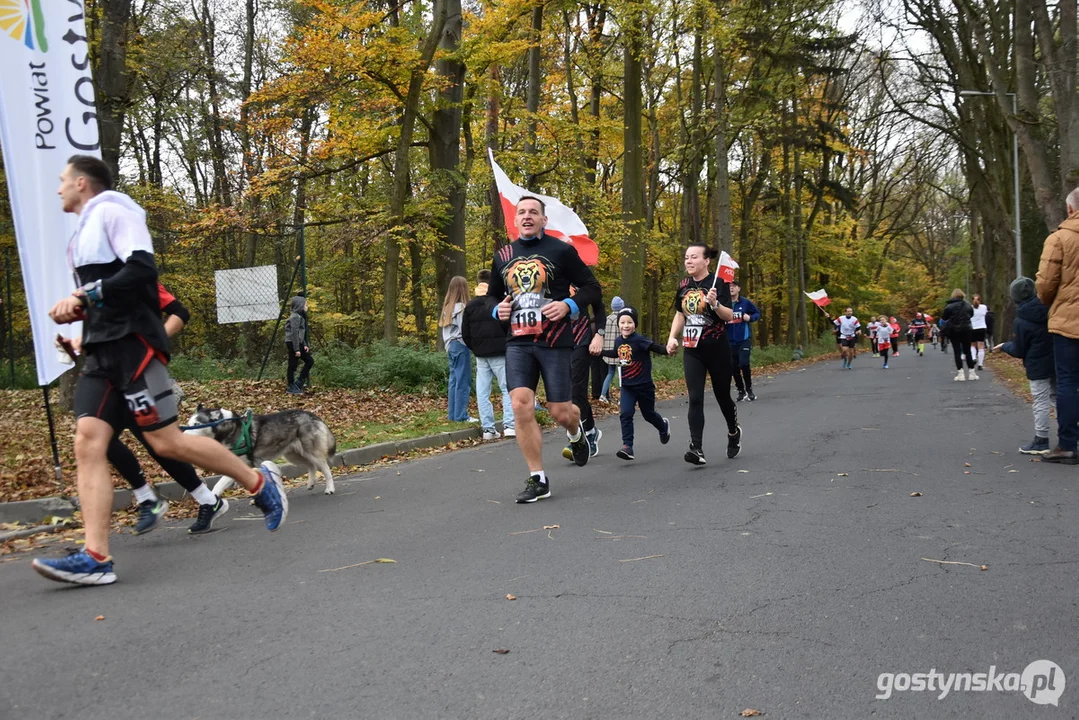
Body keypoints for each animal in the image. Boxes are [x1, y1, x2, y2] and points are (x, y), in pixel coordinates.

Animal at [185, 405, 336, 496]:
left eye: (196, 424)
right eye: (188, 424)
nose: (183, 434)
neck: (232, 429)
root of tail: (313, 415)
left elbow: (219, 483)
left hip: (311, 453)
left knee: (325, 467)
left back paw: (330, 488)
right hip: (294, 456)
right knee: (311, 466)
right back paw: (310, 483)